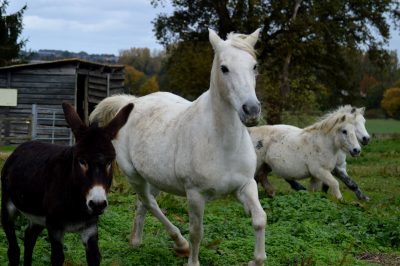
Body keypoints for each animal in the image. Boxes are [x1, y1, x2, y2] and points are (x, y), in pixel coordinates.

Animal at [90, 29, 266, 266]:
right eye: (224, 68)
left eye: (254, 66)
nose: (251, 110)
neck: (222, 142)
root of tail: (129, 104)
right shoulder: (195, 194)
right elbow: (196, 232)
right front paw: (192, 261)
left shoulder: (246, 185)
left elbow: (260, 219)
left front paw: (256, 260)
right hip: (134, 176)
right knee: (150, 203)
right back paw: (179, 244)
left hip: (153, 178)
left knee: (143, 203)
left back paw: (136, 241)